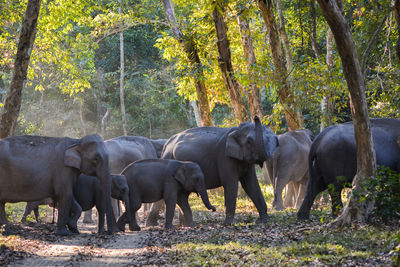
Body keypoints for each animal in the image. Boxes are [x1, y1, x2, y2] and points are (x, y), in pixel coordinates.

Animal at [147, 117, 278, 226]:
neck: (236, 130)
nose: (256, 117)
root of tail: (166, 144)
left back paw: (183, 224)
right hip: (169, 160)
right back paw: (151, 225)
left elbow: (251, 184)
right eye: (249, 142)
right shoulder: (224, 157)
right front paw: (231, 224)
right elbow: (231, 184)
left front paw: (264, 221)